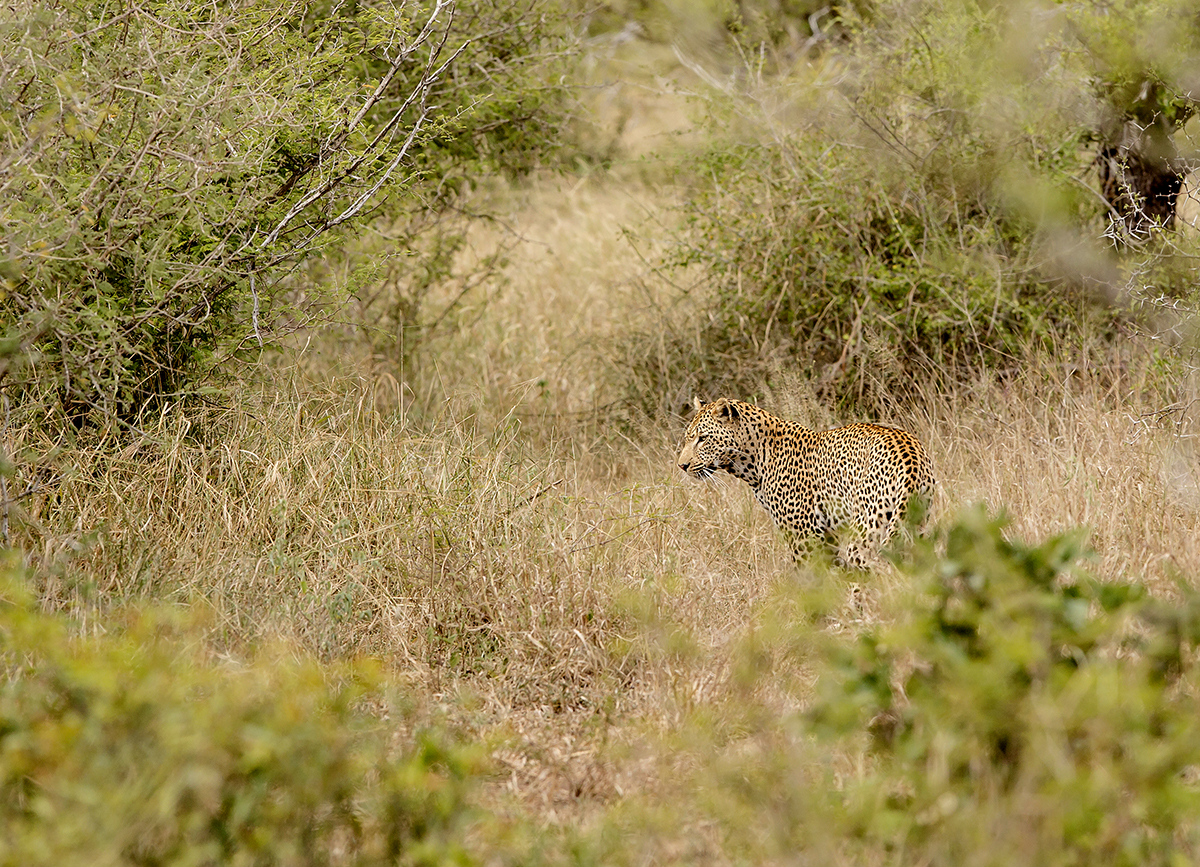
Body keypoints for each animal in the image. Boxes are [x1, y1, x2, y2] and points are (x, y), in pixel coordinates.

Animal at [676, 397, 935, 567]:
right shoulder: (827, 535)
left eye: (702, 439)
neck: (752, 462)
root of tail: (910, 458)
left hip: (866, 533)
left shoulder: (803, 536)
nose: (682, 465)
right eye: (689, 438)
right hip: (916, 526)